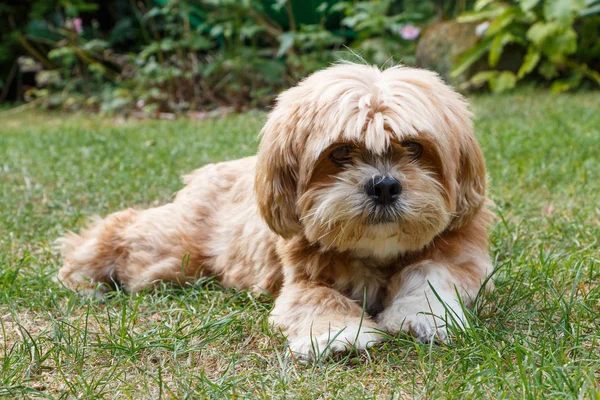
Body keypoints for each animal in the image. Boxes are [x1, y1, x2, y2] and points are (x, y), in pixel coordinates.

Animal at [58, 62, 494, 360]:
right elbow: (319, 299)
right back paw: (83, 270)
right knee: (123, 227)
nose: (384, 185)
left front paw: (420, 317)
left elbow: (429, 276)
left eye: (415, 148)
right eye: (341, 153)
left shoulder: (459, 256)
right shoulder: (302, 280)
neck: (376, 252)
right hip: (169, 252)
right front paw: (337, 335)